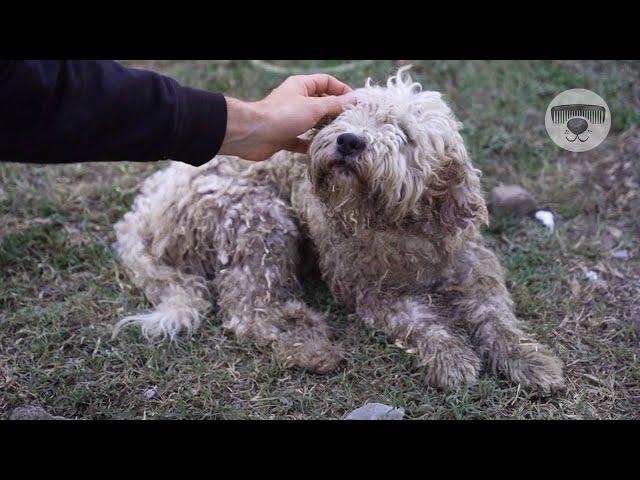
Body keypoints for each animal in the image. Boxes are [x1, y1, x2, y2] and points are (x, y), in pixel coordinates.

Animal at [114, 67, 564, 394]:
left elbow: (496, 318)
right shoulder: (373, 293)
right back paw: (310, 347)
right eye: (340, 115)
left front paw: (530, 361)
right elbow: (423, 323)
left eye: (405, 133)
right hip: (262, 219)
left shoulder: (475, 269)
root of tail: (144, 210)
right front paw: (451, 357)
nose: (349, 140)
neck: (399, 223)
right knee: (249, 310)